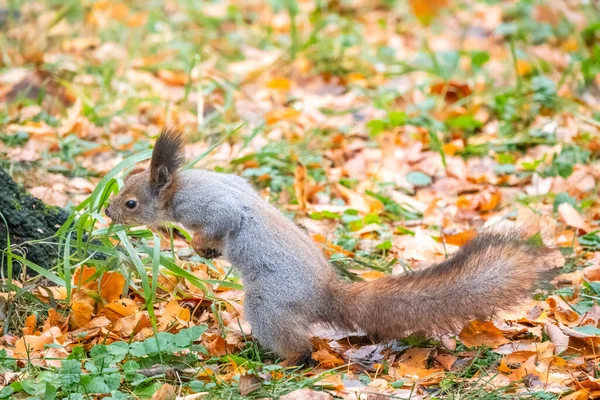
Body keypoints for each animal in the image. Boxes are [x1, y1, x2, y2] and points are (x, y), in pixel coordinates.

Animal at [106, 128, 564, 362]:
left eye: (131, 202)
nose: (108, 212)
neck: (178, 191)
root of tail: (325, 295)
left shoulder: (211, 205)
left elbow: (222, 222)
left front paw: (202, 245)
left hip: (269, 302)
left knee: (299, 345)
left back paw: (279, 361)